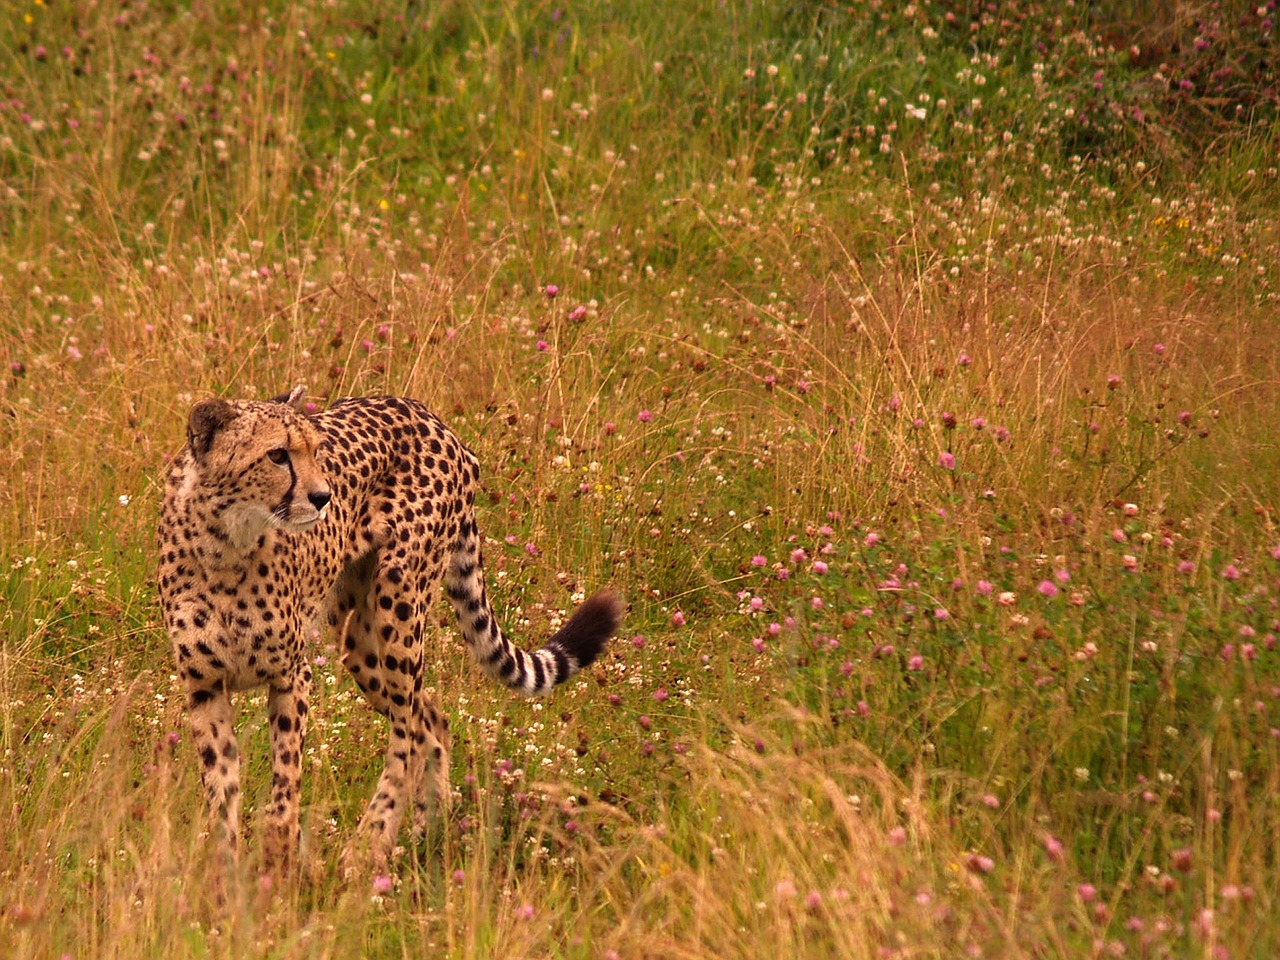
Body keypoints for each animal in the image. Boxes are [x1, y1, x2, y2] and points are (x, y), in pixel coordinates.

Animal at [160, 389, 619, 880]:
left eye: (315, 451)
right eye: (277, 455)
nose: (323, 497)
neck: (225, 543)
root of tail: (429, 415)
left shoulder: (291, 677)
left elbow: (285, 785)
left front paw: (279, 865)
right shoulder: (205, 688)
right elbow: (220, 791)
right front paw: (223, 873)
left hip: (398, 600)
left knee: (406, 734)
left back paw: (372, 842)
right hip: (359, 644)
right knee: (430, 721)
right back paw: (424, 830)